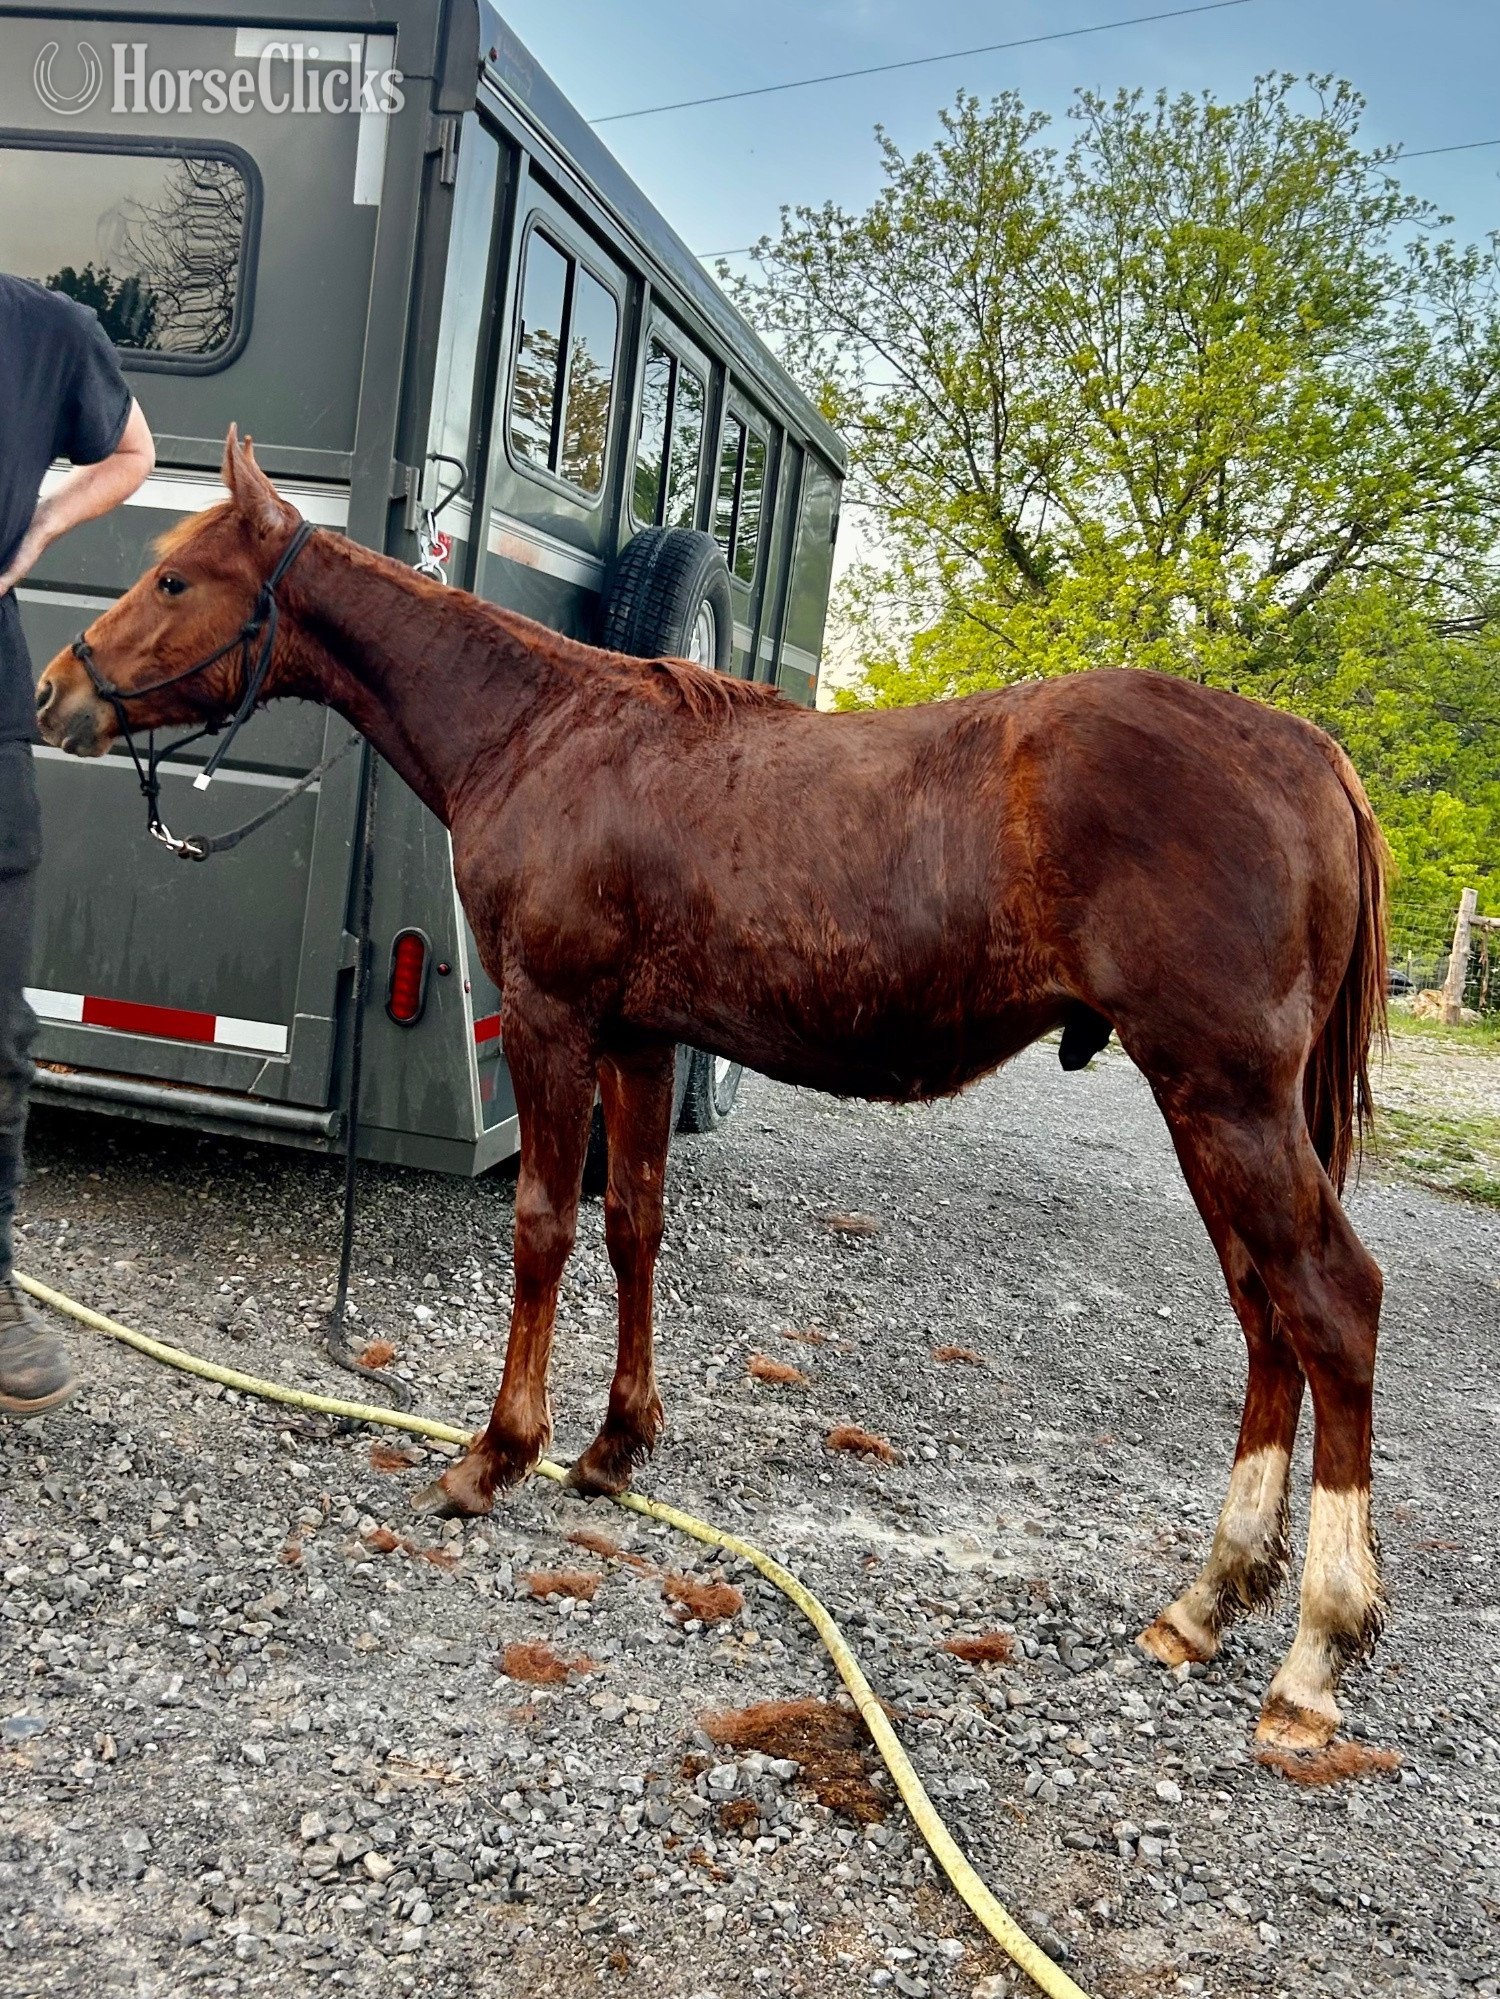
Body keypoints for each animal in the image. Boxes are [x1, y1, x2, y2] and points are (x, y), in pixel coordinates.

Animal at [36, 431, 1389, 1754]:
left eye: (174, 578)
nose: (56, 690)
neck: (542, 731)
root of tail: (1311, 751)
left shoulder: (556, 1022)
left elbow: (544, 1227)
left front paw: (497, 1454)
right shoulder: (640, 1041)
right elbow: (634, 1224)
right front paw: (614, 1444)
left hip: (1226, 1099)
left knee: (1331, 1306)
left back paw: (1313, 1654)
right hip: (1214, 1111)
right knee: (1266, 1317)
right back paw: (1207, 1601)